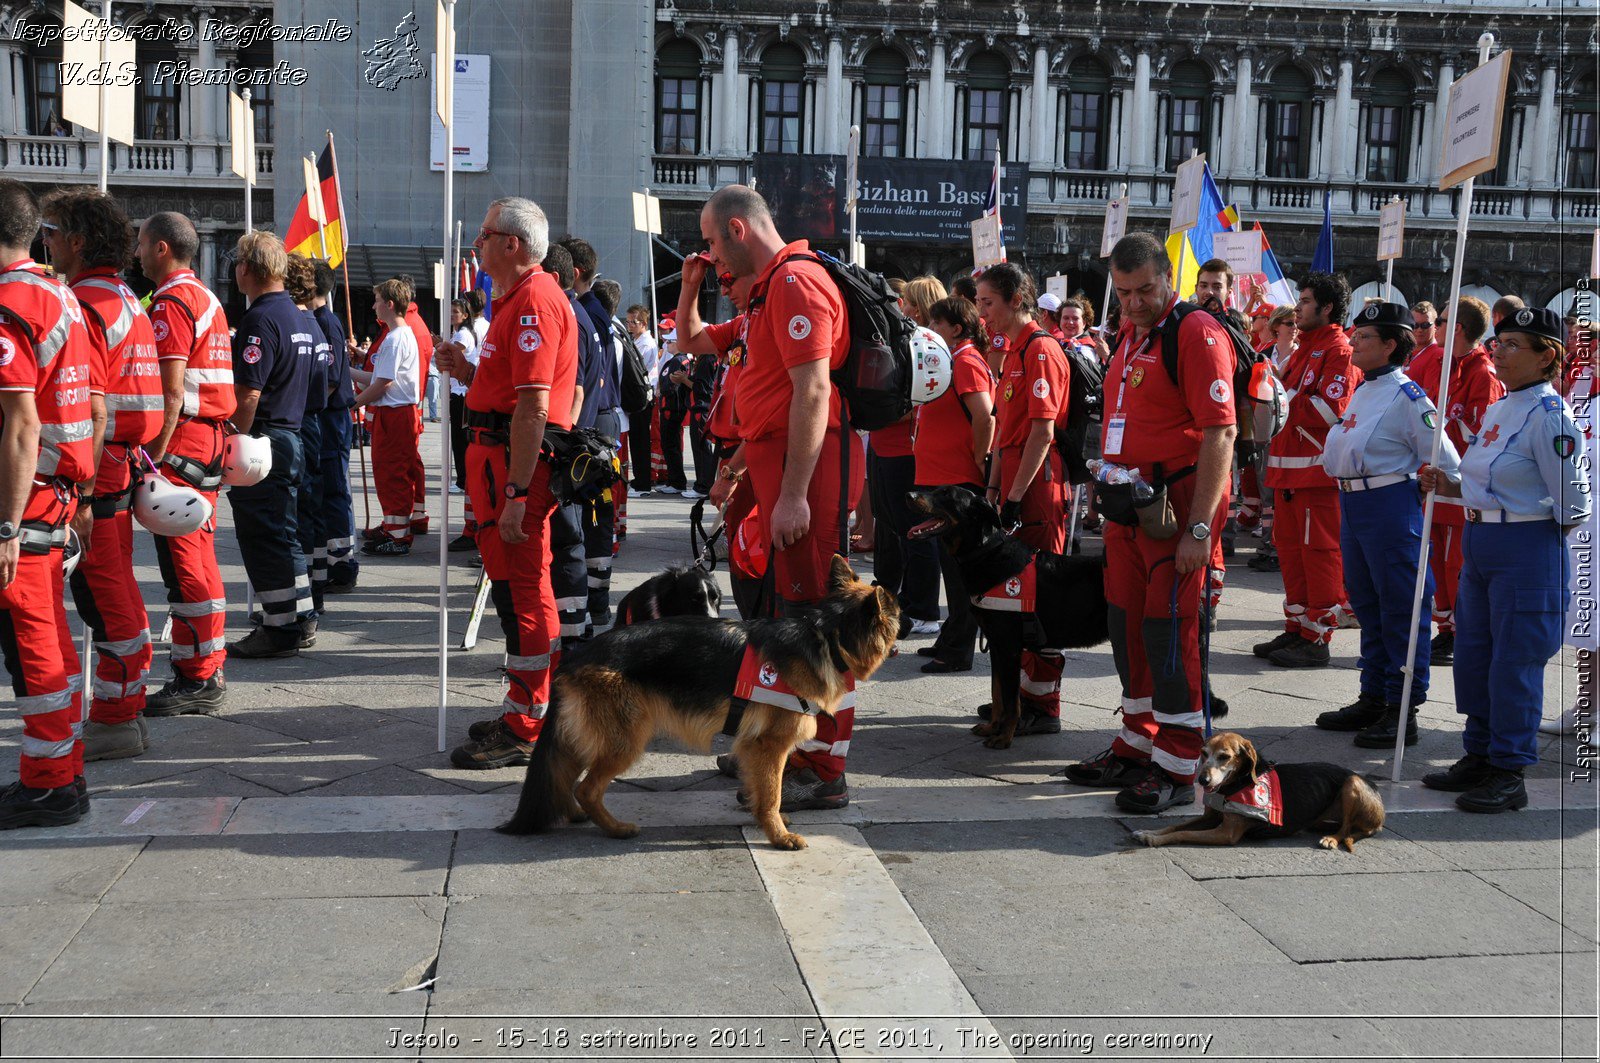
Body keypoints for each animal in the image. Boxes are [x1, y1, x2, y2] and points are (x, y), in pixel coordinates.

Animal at [499, 557, 902, 845]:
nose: (908, 625)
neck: (827, 636)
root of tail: (573, 657)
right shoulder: (771, 746)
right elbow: (771, 793)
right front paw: (779, 836)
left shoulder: (753, 747)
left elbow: (760, 790)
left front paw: (766, 822)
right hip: (625, 741)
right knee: (585, 787)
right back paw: (614, 828)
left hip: (587, 737)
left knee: (563, 775)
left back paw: (573, 813)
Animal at [908, 486, 1107, 746]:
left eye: (946, 495)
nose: (909, 495)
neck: (986, 553)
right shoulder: (996, 644)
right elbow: (998, 693)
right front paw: (993, 727)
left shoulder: (1009, 646)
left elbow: (1012, 700)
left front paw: (1004, 737)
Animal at [1126, 730, 1388, 858]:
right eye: (1203, 753)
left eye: (1224, 756)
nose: (1203, 780)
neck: (1236, 784)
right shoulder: (1210, 817)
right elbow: (1174, 826)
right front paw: (1147, 832)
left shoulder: (1226, 833)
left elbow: (1183, 833)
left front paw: (1154, 840)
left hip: (1352, 783)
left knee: (1346, 829)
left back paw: (1331, 838)